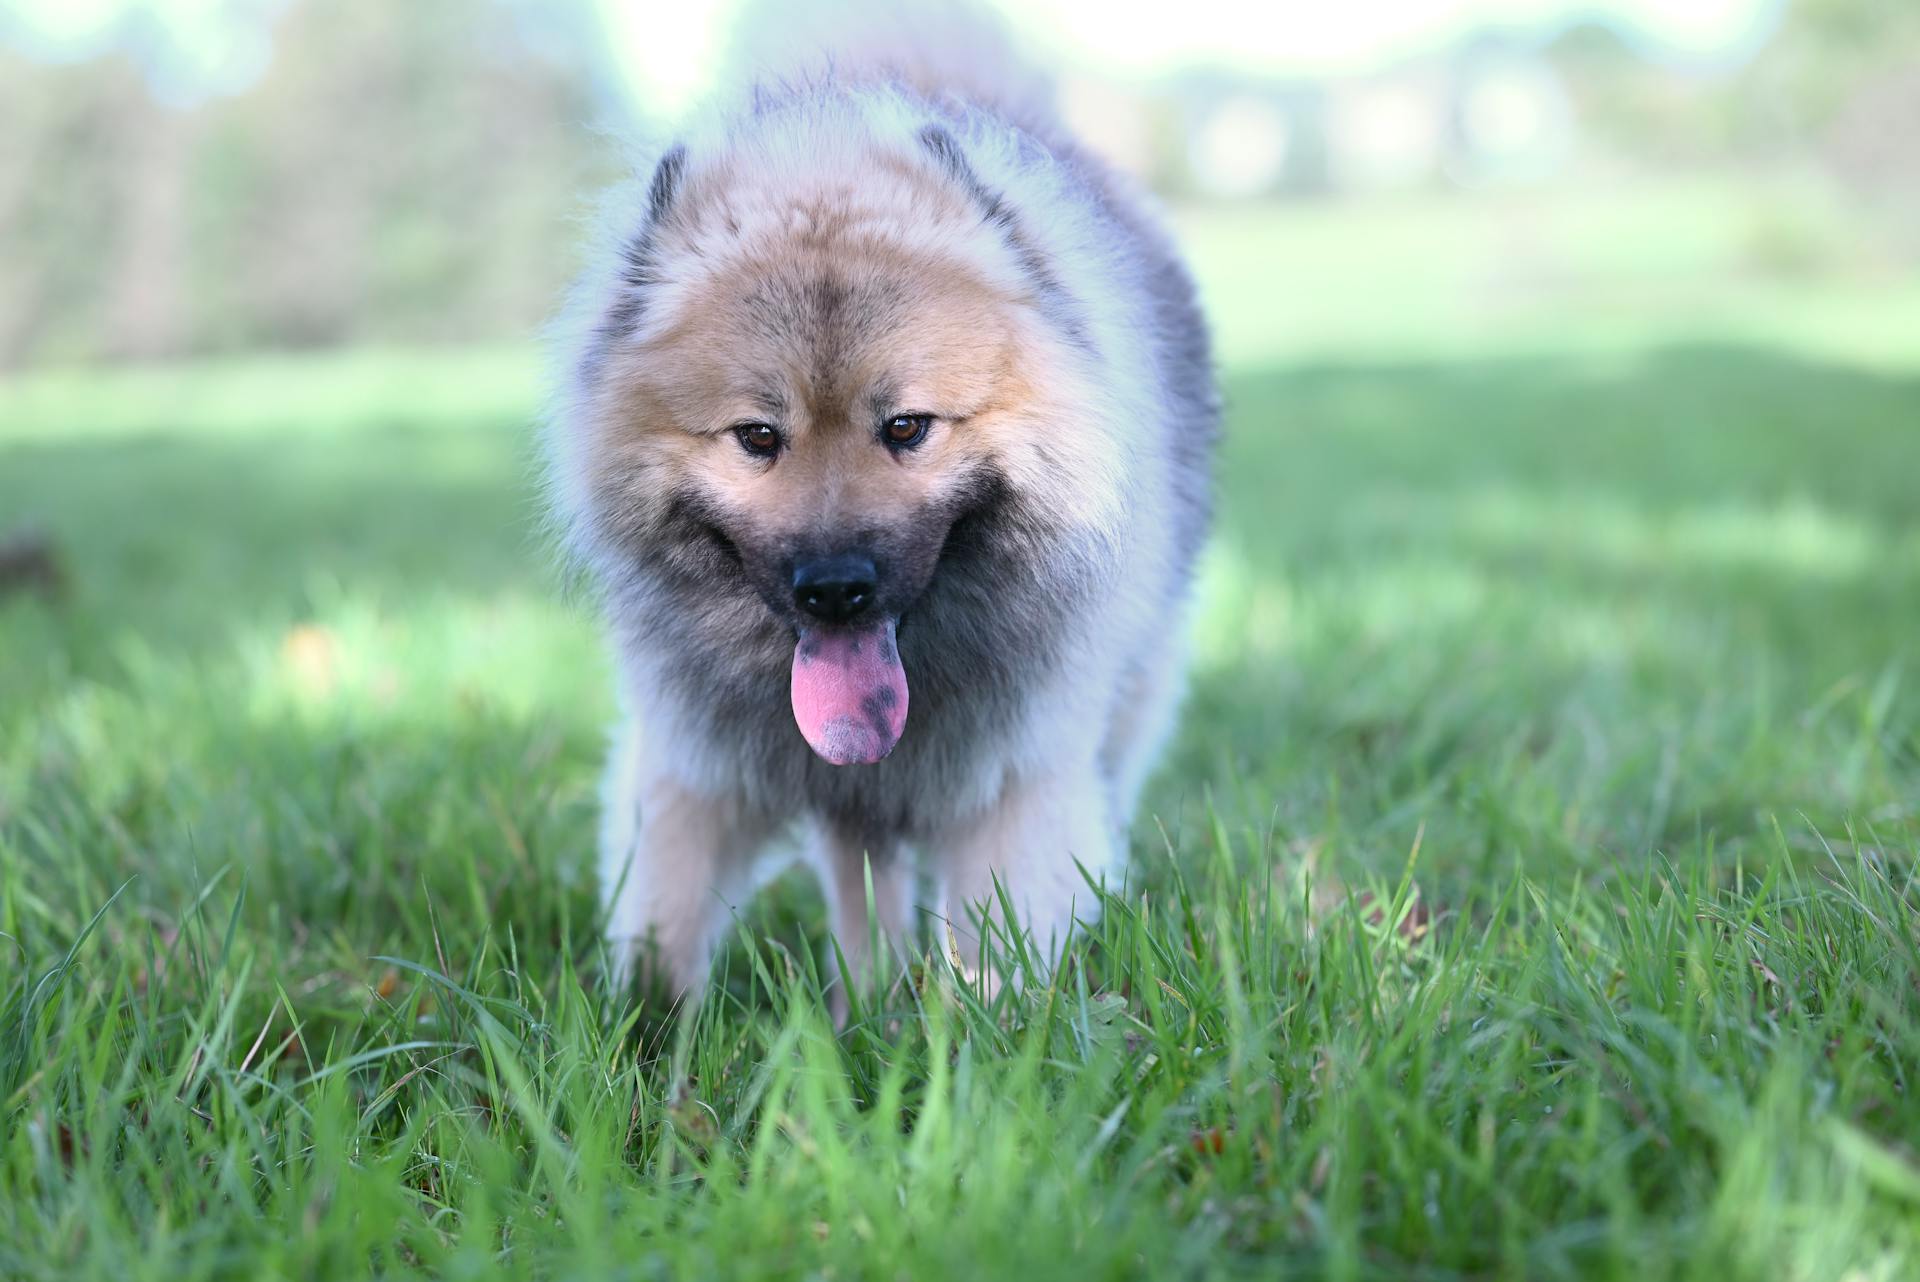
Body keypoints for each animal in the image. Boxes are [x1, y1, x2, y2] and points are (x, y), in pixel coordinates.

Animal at [549, 0, 1221, 997]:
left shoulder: (1014, 783)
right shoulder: (698, 767)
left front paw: (977, 1029)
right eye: (759, 437)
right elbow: (663, 931)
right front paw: (644, 1028)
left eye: (906, 427)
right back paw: (867, 1000)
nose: (835, 587)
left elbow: (997, 956)